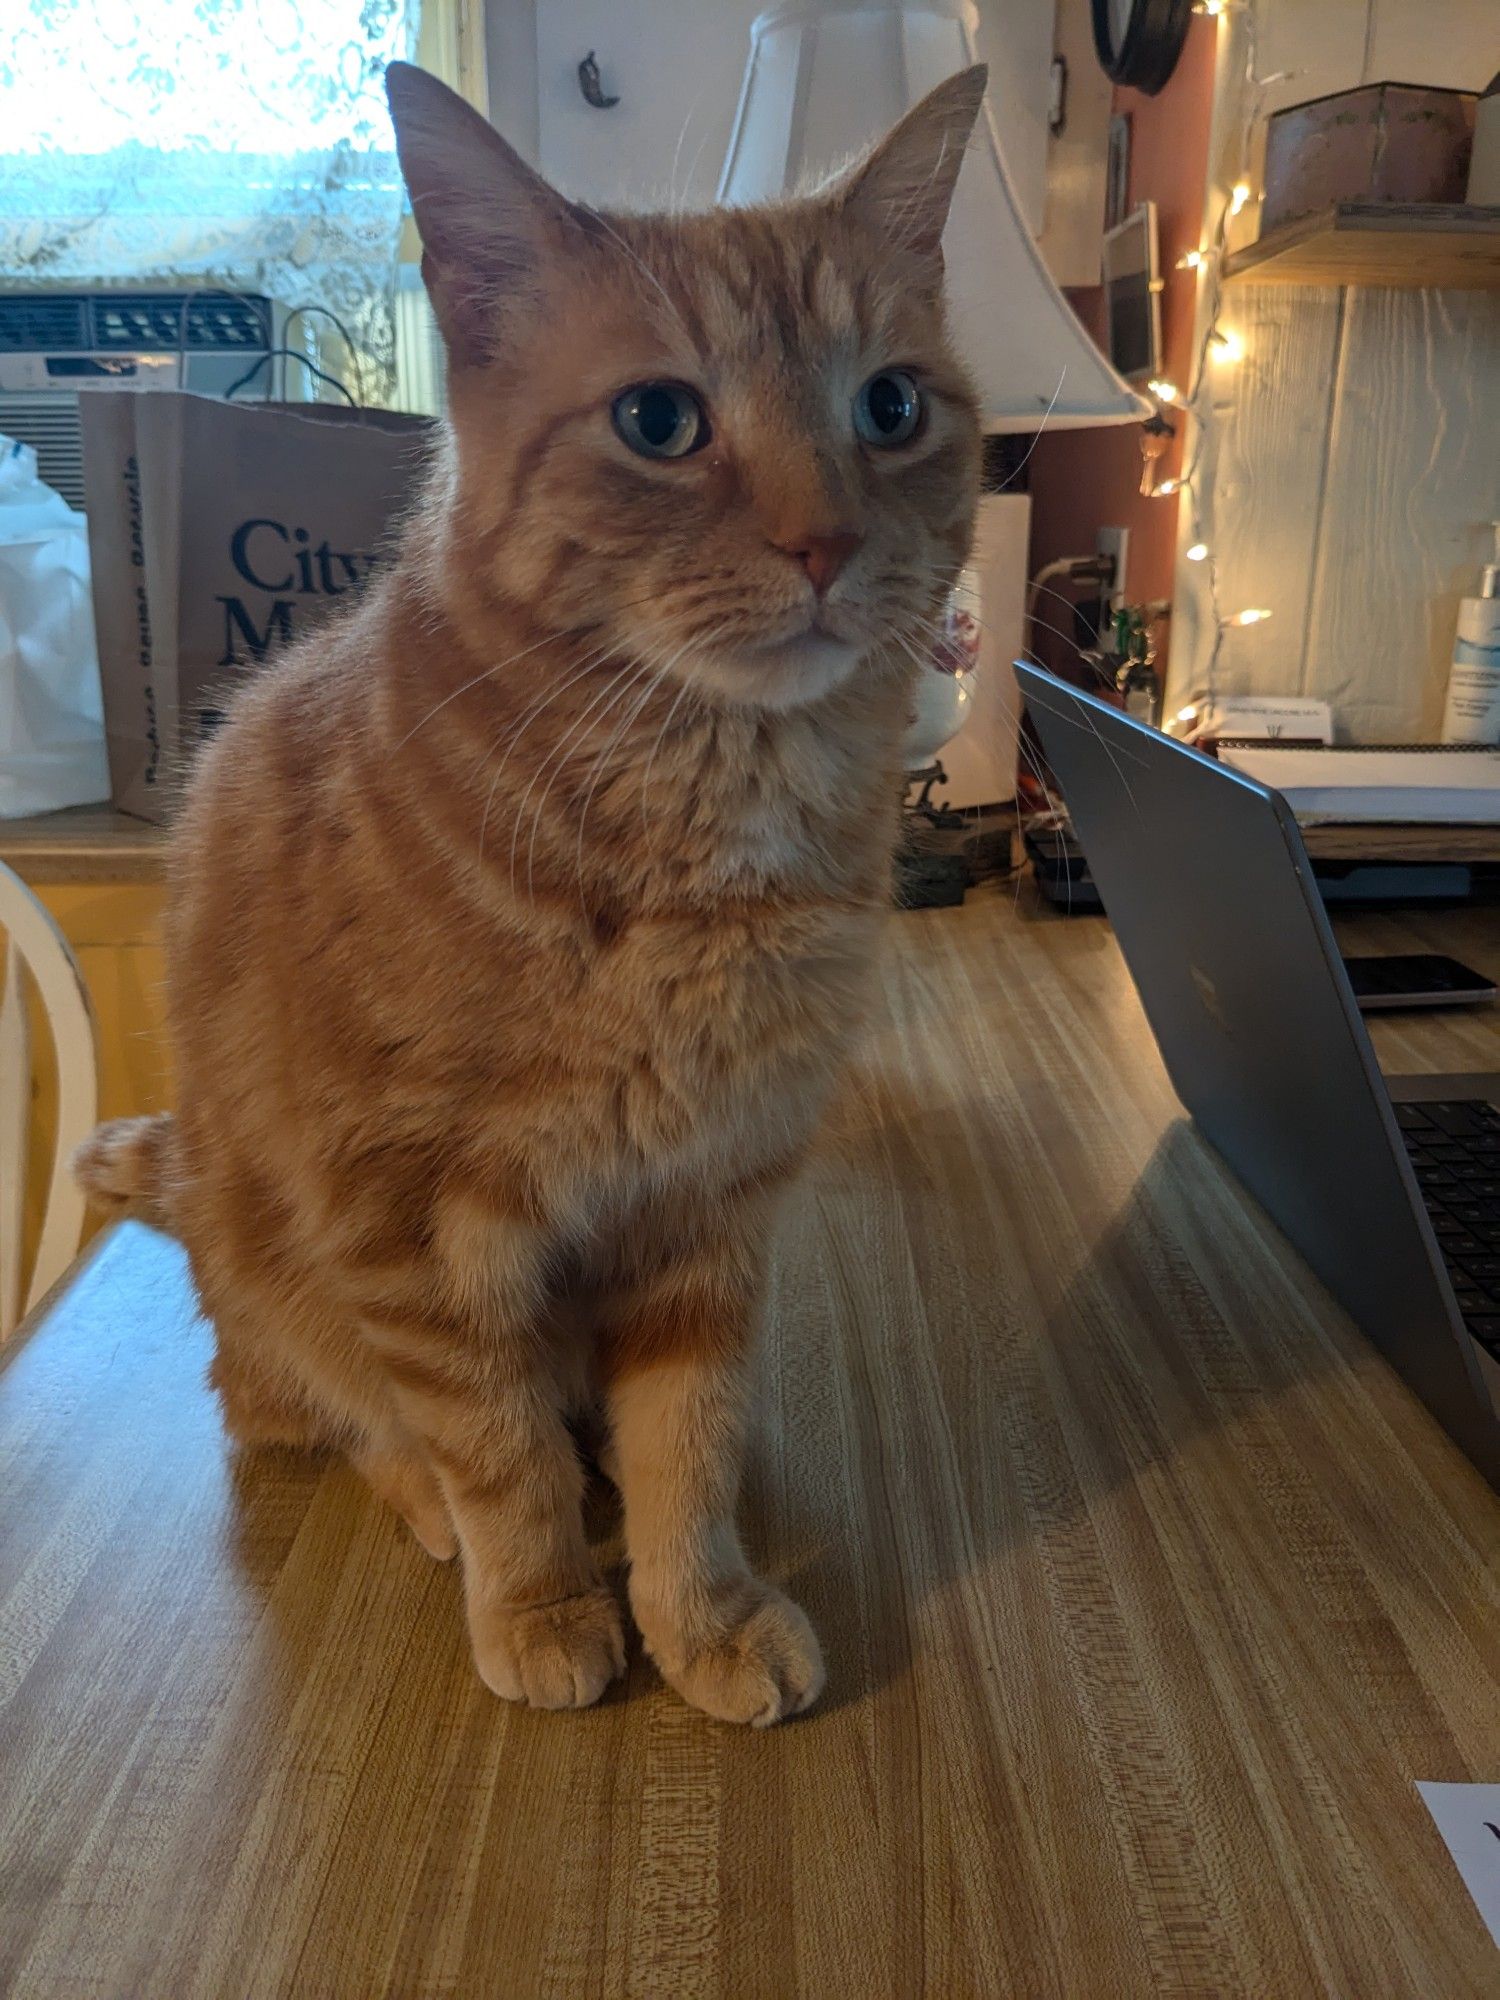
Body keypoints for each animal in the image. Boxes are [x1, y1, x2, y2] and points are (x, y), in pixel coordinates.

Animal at [79, 62, 988, 1720]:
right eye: (659, 421)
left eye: (890, 406)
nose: (826, 540)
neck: (703, 839)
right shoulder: (408, 1222)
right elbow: (489, 1441)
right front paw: (546, 1596)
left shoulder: (712, 1200)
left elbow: (687, 1435)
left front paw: (701, 1603)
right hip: (271, 1275)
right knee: (317, 1409)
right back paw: (437, 1508)